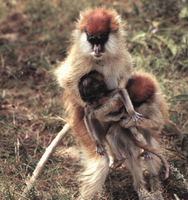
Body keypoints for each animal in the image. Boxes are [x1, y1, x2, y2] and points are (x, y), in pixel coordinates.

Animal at [55, 7, 167, 200]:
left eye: (101, 39)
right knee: (101, 160)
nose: (96, 48)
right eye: (92, 39)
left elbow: (123, 85)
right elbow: (67, 82)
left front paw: (126, 112)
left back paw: (143, 186)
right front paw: (103, 111)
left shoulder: (121, 59)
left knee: (135, 147)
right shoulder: (78, 62)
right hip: (84, 128)